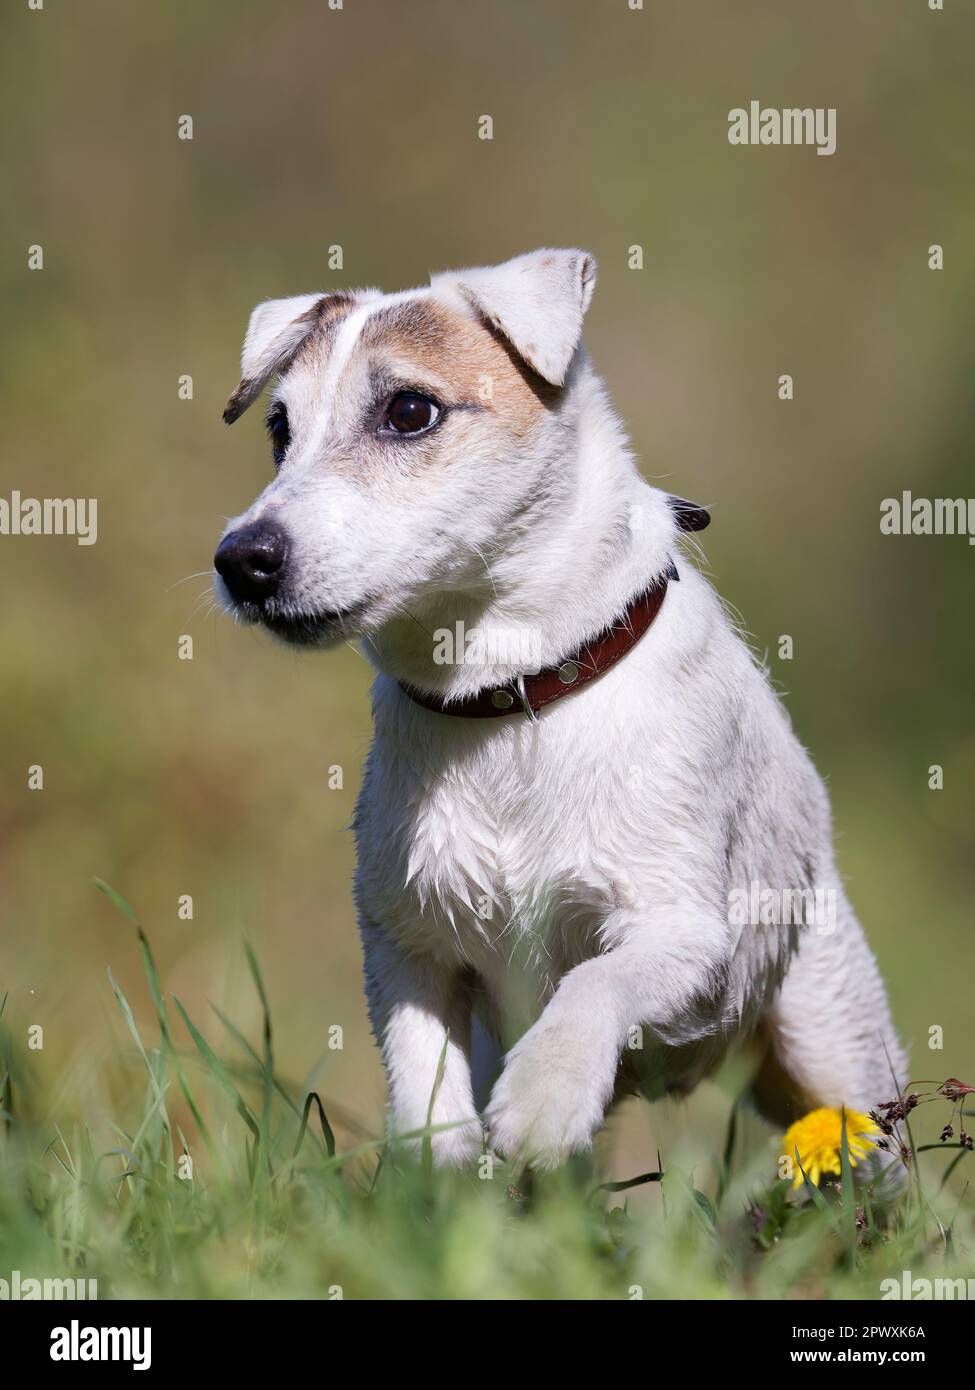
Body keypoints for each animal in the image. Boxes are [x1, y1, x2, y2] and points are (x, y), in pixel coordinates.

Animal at [212, 250, 906, 1173]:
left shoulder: (681, 934)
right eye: (278, 431)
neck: (513, 698)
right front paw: (440, 1162)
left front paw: (545, 1095)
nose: (241, 561)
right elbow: (422, 1075)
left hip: (837, 1054)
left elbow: (593, 980)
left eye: (408, 410)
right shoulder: (409, 950)